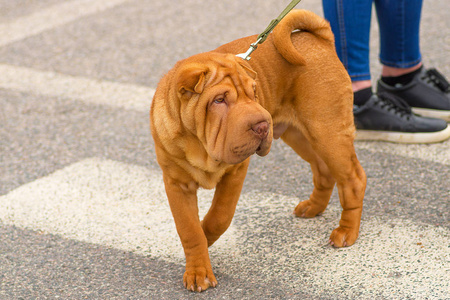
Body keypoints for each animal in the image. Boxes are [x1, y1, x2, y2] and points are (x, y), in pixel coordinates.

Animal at [150, 9, 366, 292]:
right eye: (219, 100)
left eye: (254, 92)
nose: (263, 124)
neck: (201, 146)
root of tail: (320, 40)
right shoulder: (176, 183)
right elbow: (188, 228)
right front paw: (198, 269)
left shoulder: (235, 171)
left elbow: (220, 215)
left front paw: (206, 235)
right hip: (299, 135)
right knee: (323, 169)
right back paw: (313, 207)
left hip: (328, 132)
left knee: (353, 178)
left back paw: (346, 231)